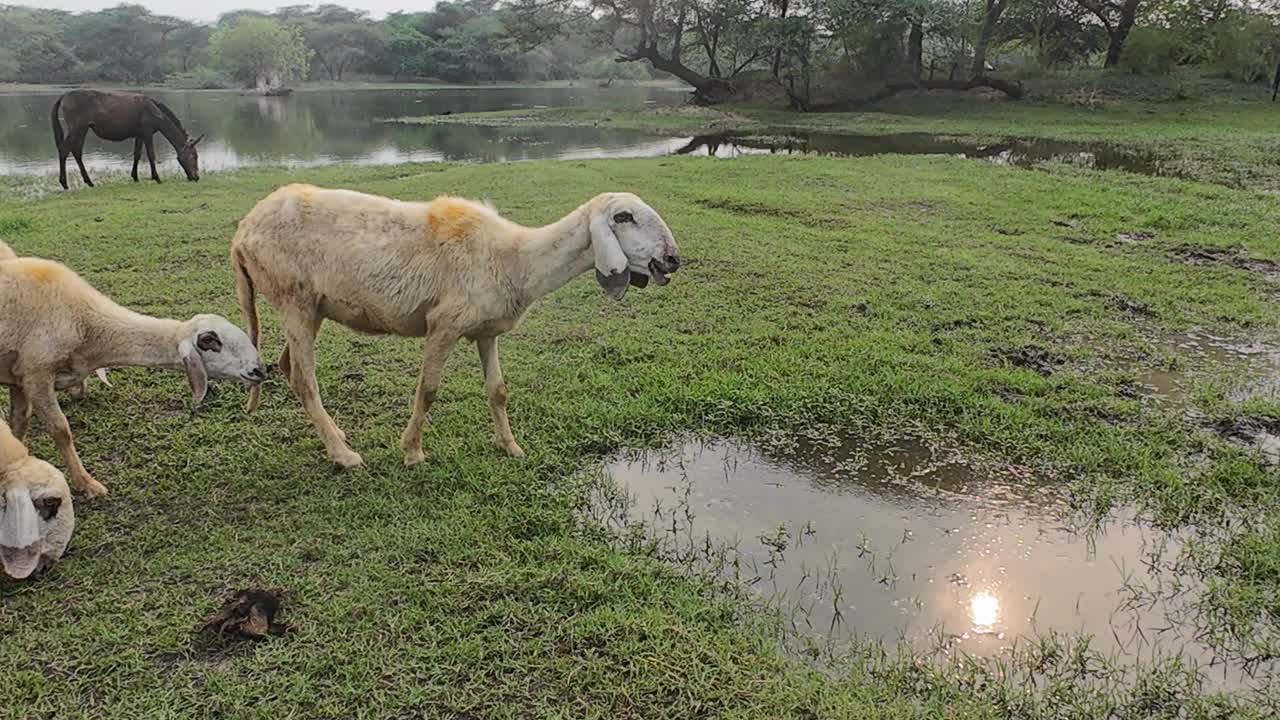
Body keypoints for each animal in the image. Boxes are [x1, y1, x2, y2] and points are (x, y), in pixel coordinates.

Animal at [0, 239, 264, 491]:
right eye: (210, 341)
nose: (259, 370)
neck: (87, 326)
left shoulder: (18, 377)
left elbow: (18, 423)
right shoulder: (35, 373)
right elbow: (60, 430)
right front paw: (88, 485)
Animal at [51, 88, 203, 189]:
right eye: (194, 156)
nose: (196, 177)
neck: (154, 111)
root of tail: (64, 96)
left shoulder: (139, 135)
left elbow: (137, 155)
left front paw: (135, 177)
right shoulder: (147, 133)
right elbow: (151, 155)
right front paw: (157, 178)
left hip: (82, 130)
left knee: (76, 151)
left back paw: (89, 182)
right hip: (78, 128)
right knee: (64, 150)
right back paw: (65, 183)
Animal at [235, 183, 686, 466]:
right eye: (624, 216)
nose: (672, 259)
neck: (516, 258)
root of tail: (243, 230)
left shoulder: (486, 331)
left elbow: (498, 391)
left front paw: (511, 447)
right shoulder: (444, 324)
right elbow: (428, 390)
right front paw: (412, 452)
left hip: (310, 308)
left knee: (289, 366)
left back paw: (338, 437)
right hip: (293, 300)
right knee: (304, 379)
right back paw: (344, 456)